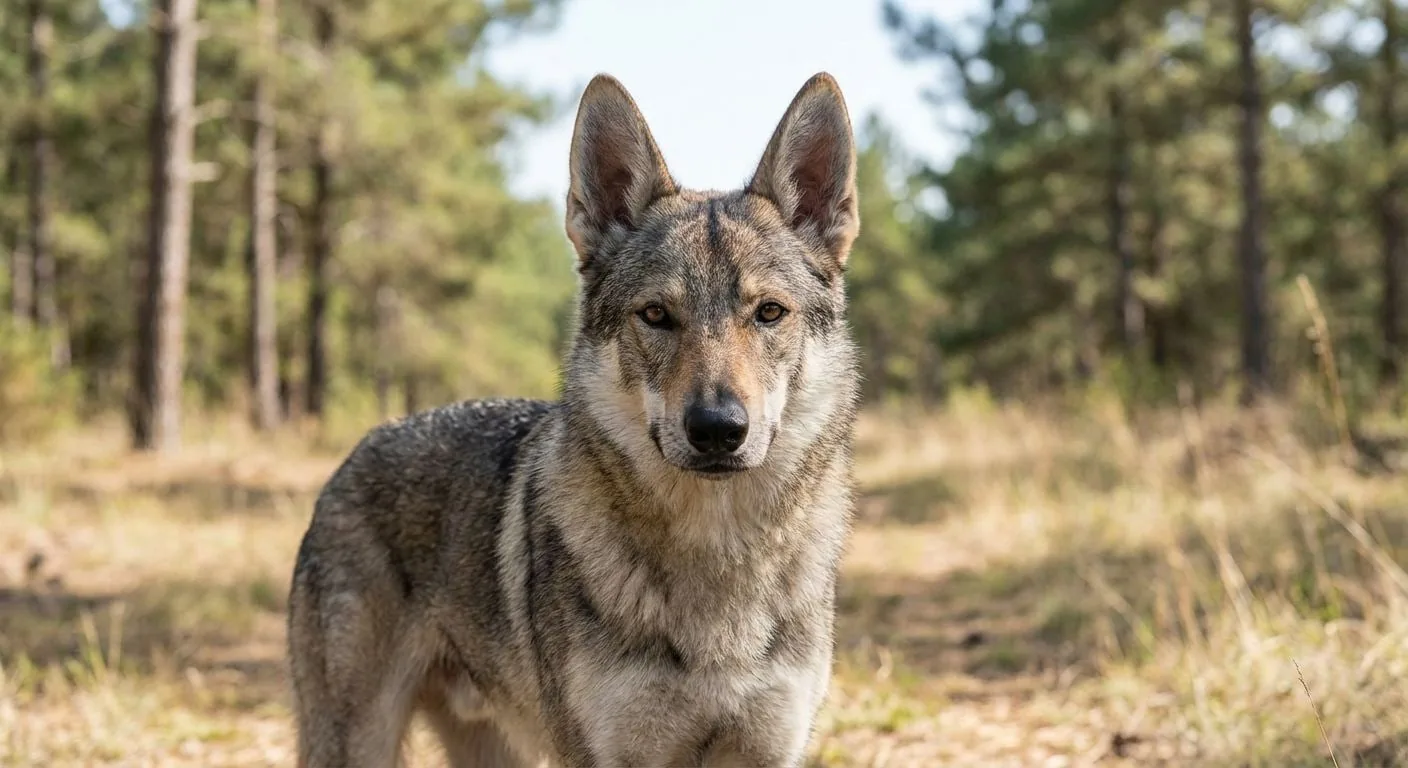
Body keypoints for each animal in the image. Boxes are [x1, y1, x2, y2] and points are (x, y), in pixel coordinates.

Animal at [287, 70, 863, 768]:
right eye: (656, 315)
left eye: (769, 313)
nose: (717, 429)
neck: (717, 557)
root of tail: (357, 452)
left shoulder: (770, 751)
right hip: (358, 742)